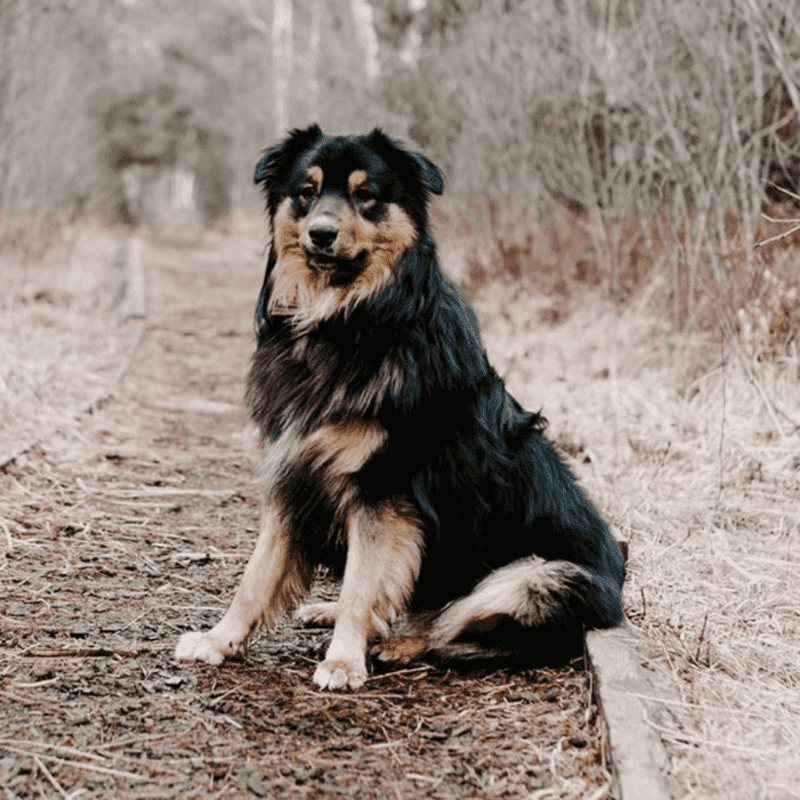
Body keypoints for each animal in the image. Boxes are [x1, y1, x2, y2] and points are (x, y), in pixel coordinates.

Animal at [175, 125, 624, 688]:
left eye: (366, 195)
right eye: (306, 192)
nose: (321, 234)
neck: (345, 320)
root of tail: (619, 592)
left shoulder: (382, 489)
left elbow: (361, 586)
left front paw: (343, 661)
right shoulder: (292, 472)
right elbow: (256, 576)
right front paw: (219, 640)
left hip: (541, 577)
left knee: (450, 624)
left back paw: (396, 642)